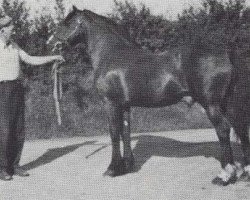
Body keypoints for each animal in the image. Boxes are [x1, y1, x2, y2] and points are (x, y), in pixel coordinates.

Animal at [47, 6, 250, 187]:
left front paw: (112, 169)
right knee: (240, 129)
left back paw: (224, 176)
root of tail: (226, 53)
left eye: (67, 23)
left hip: (212, 105)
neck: (111, 54)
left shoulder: (111, 104)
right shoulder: (125, 105)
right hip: (229, 104)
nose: (51, 42)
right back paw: (245, 172)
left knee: (223, 130)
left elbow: (114, 133)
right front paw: (127, 166)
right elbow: (125, 132)